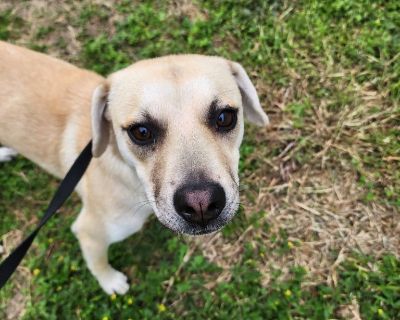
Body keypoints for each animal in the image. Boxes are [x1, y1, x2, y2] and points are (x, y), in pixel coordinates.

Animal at [0, 41, 268, 294]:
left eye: (224, 117)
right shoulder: (90, 232)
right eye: (141, 132)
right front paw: (110, 282)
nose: (200, 204)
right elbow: (98, 263)